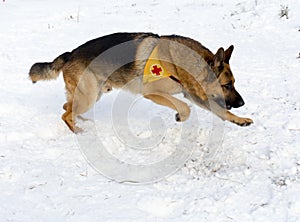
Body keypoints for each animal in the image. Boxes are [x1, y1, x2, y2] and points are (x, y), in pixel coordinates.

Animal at [28, 32, 253, 133]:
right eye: (227, 85)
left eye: (233, 83)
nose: (242, 103)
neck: (177, 61)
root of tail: (69, 54)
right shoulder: (154, 93)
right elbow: (184, 107)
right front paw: (180, 116)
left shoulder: (195, 95)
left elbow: (222, 111)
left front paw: (239, 119)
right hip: (89, 96)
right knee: (65, 113)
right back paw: (78, 131)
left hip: (93, 94)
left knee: (67, 106)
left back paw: (80, 121)